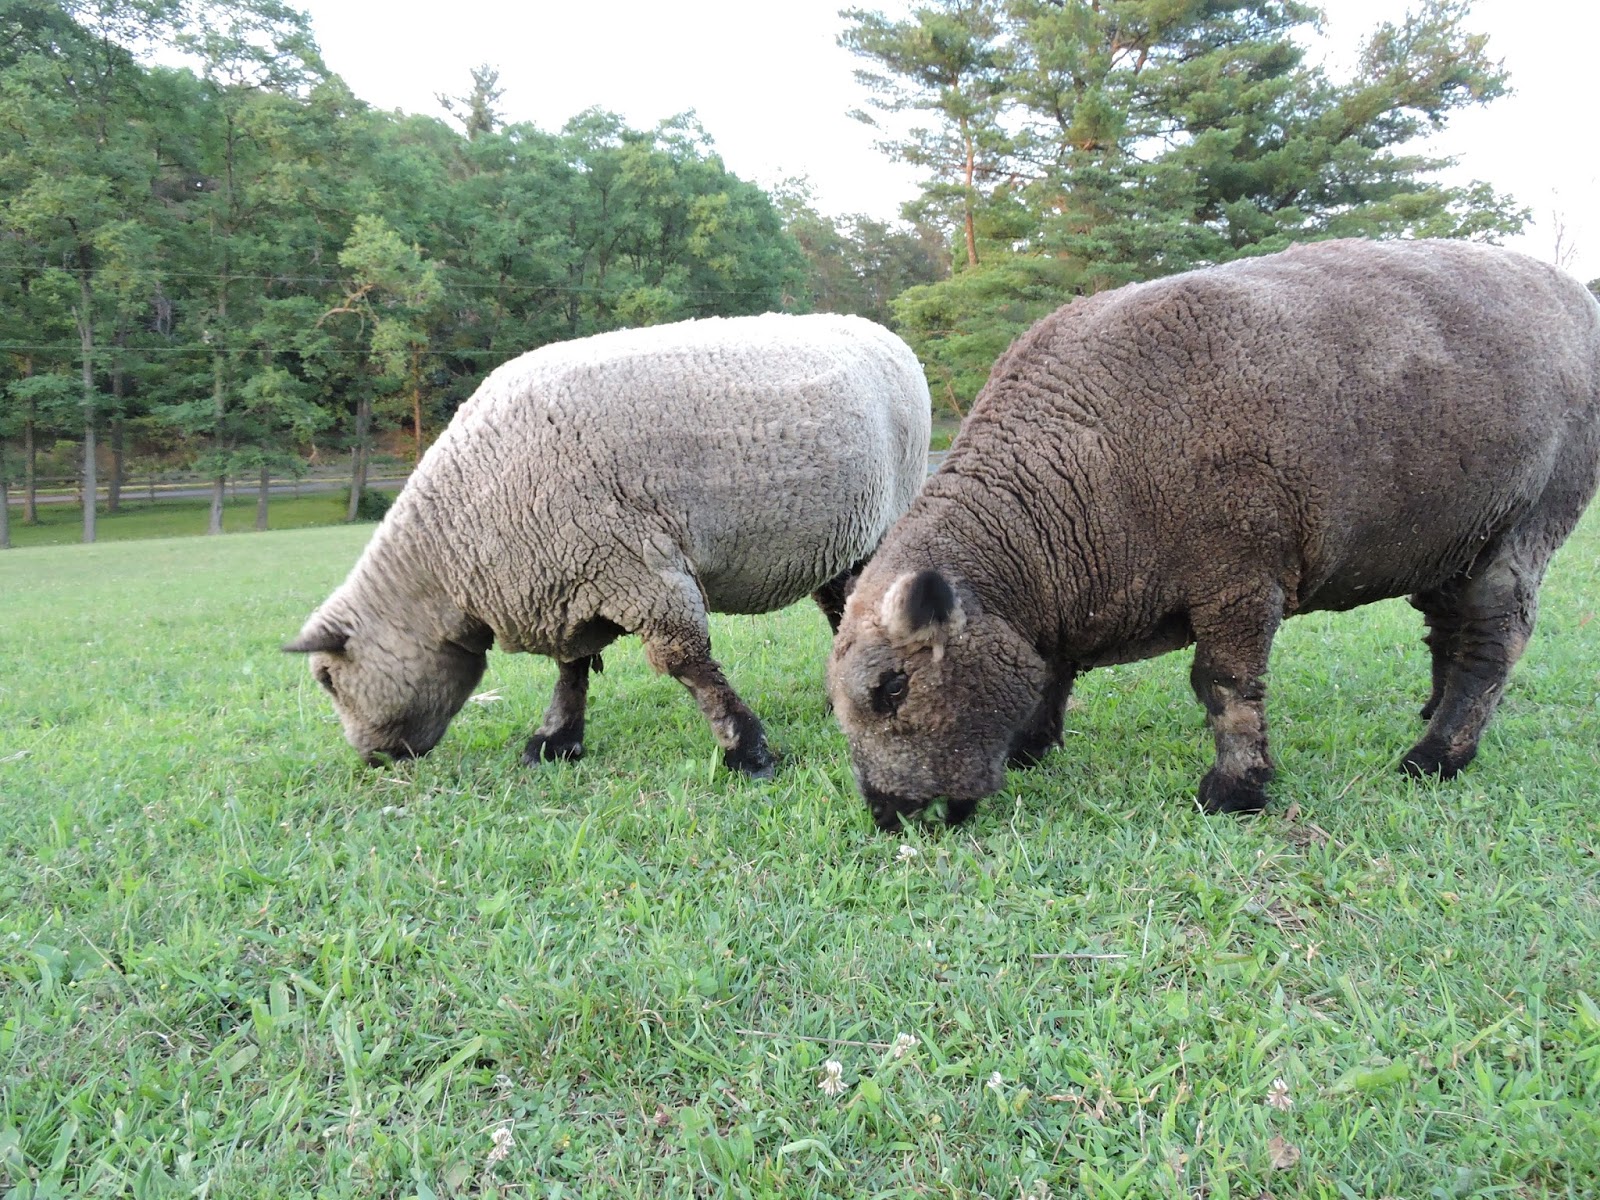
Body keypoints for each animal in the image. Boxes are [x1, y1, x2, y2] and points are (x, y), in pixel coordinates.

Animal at [286, 312, 931, 776]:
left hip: (892, 506)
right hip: (842, 532)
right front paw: (555, 742)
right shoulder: (570, 578)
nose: (371, 760)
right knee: (838, 602)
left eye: (326, 679)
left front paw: (747, 751)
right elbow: (571, 670)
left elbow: (687, 665)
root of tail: (883, 332)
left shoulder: (642, 570)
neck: (450, 554)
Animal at [826, 238, 1600, 830]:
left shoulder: (1240, 576)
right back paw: (1434, 712)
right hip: (1452, 537)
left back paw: (1437, 756)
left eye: (891, 689)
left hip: (1532, 515)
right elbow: (1053, 667)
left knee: (1494, 641)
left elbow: (1224, 686)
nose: (890, 816)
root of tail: (1572, 289)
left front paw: (1236, 789)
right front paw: (1031, 744)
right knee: (1450, 629)